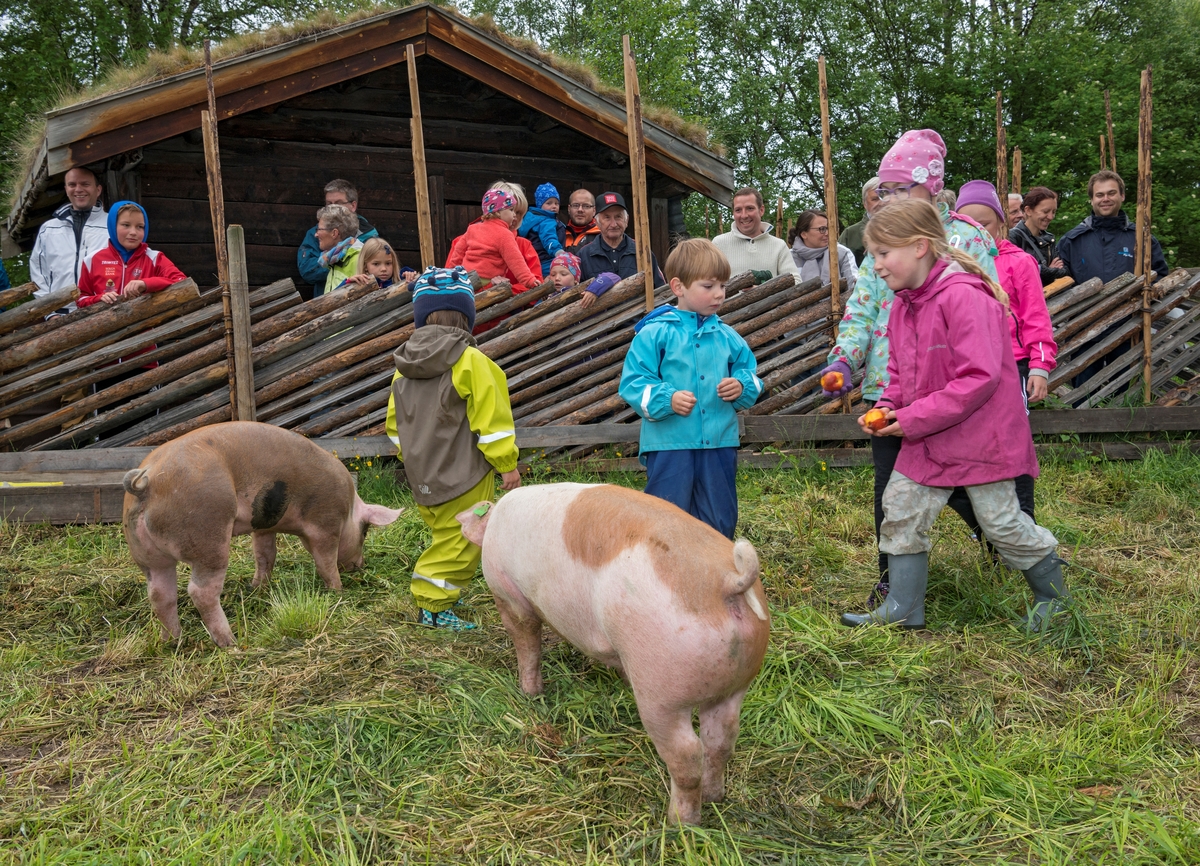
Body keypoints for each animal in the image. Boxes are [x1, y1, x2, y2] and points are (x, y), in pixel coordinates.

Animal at [122, 422, 403, 642]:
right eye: (365, 532)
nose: (360, 565)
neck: (349, 510)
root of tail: (147, 482)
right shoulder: (326, 523)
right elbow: (325, 562)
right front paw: (338, 591)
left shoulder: (264, 526)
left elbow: (265, 555)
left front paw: (257, 587)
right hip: (207, 535)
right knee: (200, 592)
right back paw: (230, 642)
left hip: (146, 555)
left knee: (160, 595)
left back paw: (173, 641)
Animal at [453, 479, 772, 825]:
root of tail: (730, 581)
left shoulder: (508, 593)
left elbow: (526, 640)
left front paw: (530, 694)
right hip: (738, 681)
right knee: (722, 738)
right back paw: (715, 797)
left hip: (661, 690)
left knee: (687, 754)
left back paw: (677, 823)